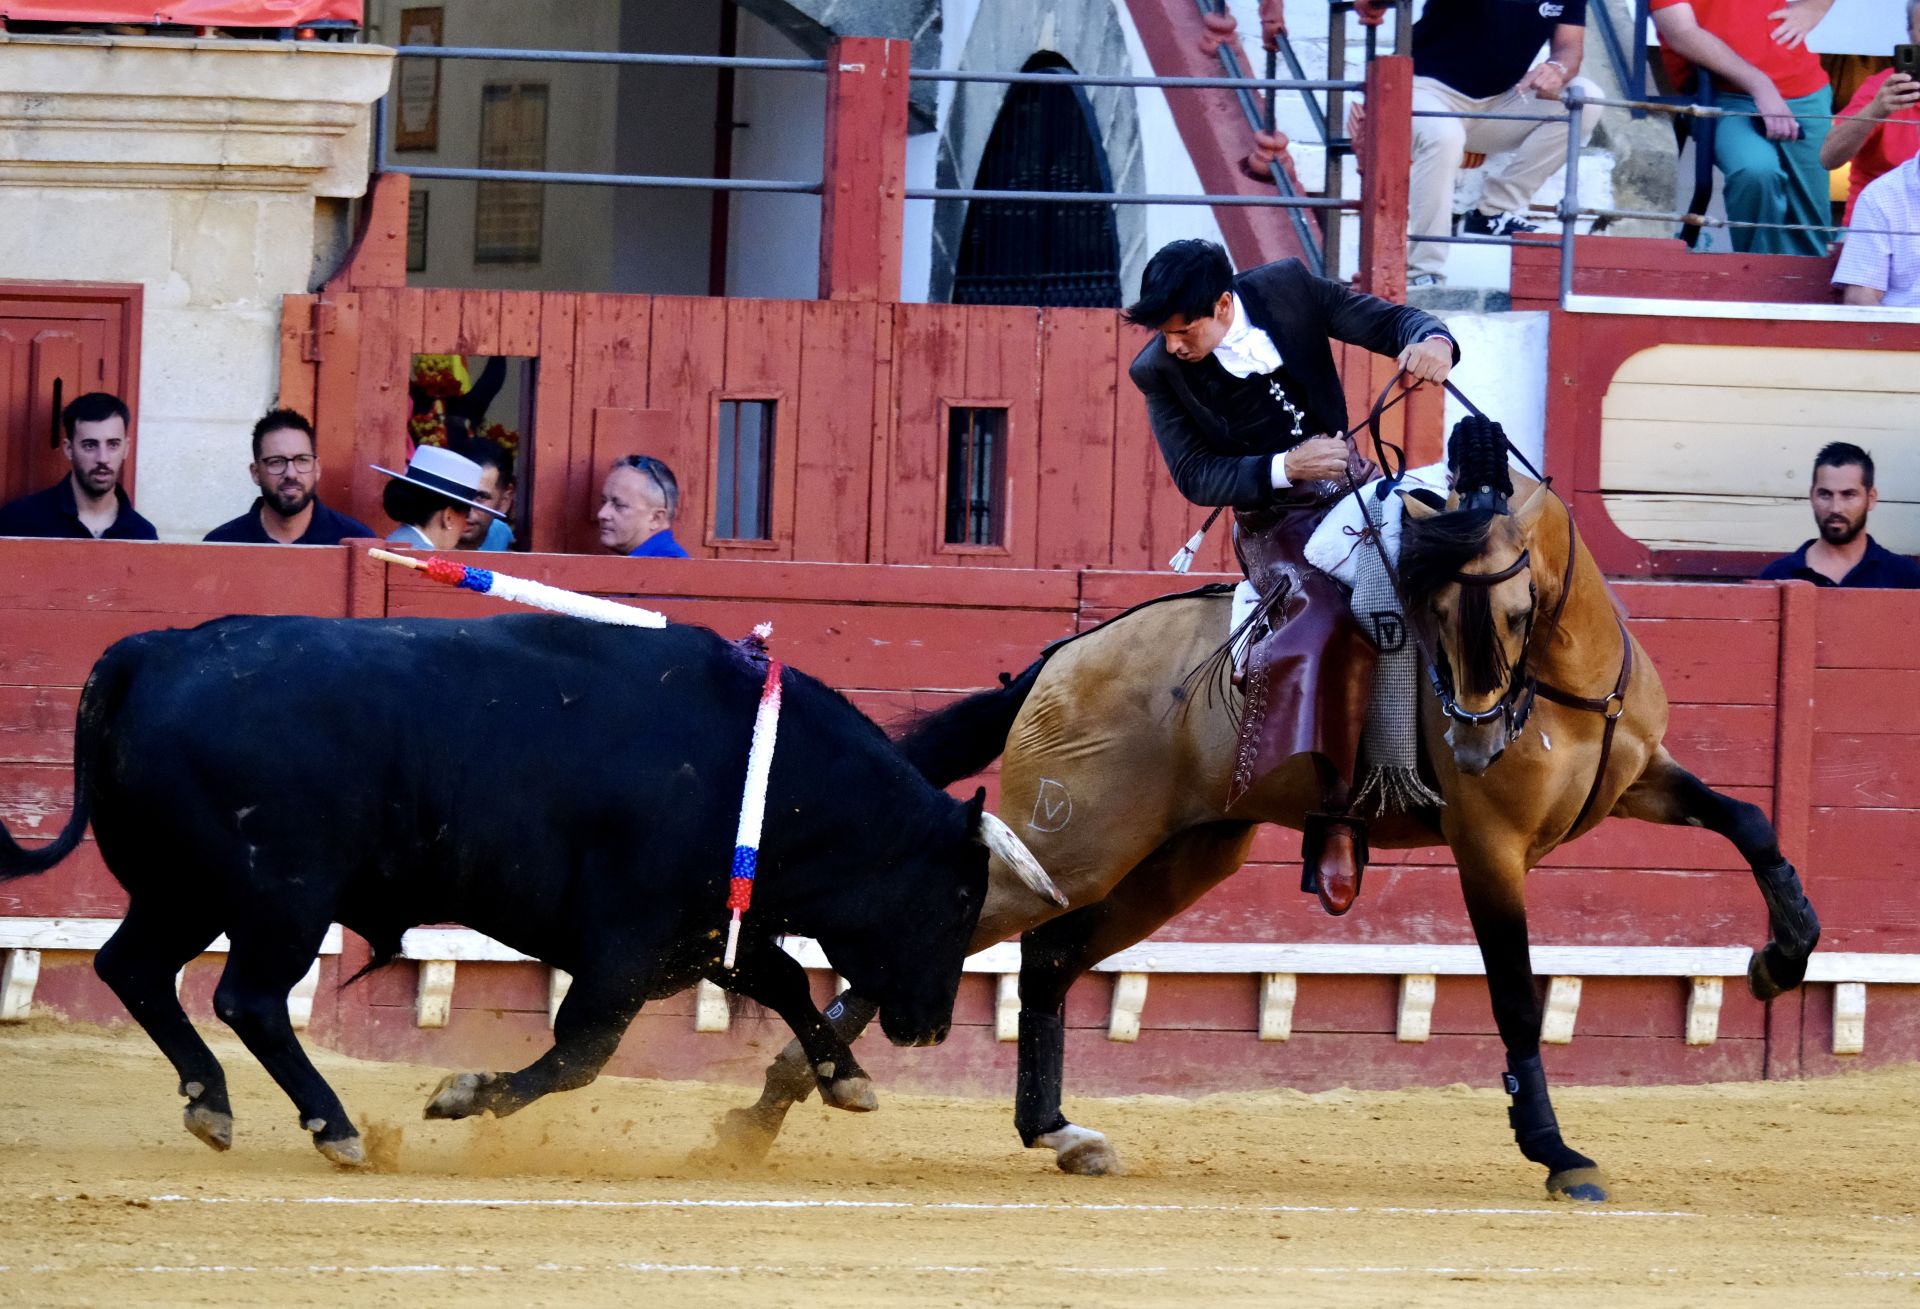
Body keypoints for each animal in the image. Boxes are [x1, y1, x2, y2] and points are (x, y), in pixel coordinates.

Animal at [0, 610, 1052, 1159]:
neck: (765, 770)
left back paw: (211, 1102)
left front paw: (848, 1080)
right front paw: (462, 1095)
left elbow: (788, 980)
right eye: (960, 899)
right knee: (248, 997)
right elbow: (582, 1049)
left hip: (182, 890)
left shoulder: (704, 934)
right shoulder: (629, 949)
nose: (932, 1025)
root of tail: (150, 650)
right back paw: (334, 1124)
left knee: (134, 969)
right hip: (280, 898)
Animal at [721, 420, 1812, 1205]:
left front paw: (1782, 956)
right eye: (1426, 614)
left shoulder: (1642, 777)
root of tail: (1063, 655)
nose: (1470, 748)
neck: (1563, 674)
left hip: (1181, 858)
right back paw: (781, 1100)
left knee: (1050, 956)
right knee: (963, 929)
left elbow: (1751, 823)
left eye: (1506, 613)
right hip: (1075, 848)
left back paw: (1051, 1131)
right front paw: (1557, 1151)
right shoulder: (1488, 847)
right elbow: (1514, 993)